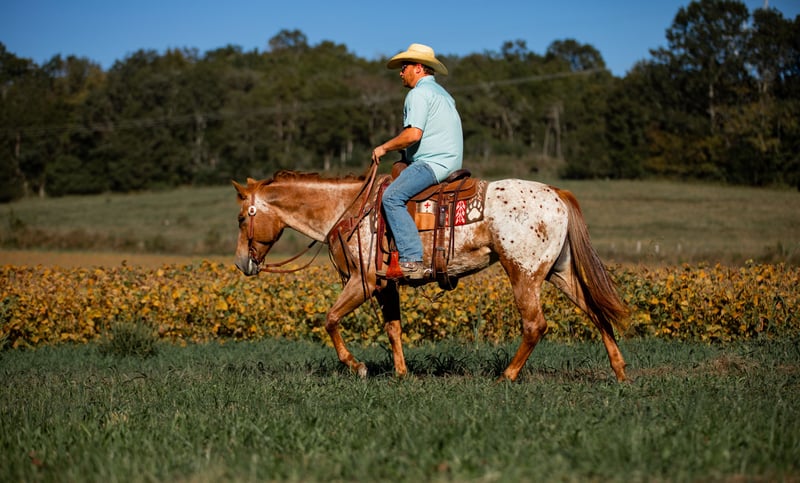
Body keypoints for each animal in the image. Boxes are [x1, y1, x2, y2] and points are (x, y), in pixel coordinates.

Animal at [232, 167, 629, 382]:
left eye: (240, 217)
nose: (240, 263)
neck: (346, 209)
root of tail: (555, 193)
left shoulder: (363, 282)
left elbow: (329, 319)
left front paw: (357, 367)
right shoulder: (385, 286)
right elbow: (393, 329)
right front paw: (401, 373)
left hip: (523, 272)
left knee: (535, 325)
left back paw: (507, 375)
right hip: (558, 271)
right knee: (596, 312)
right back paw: (620, 370)